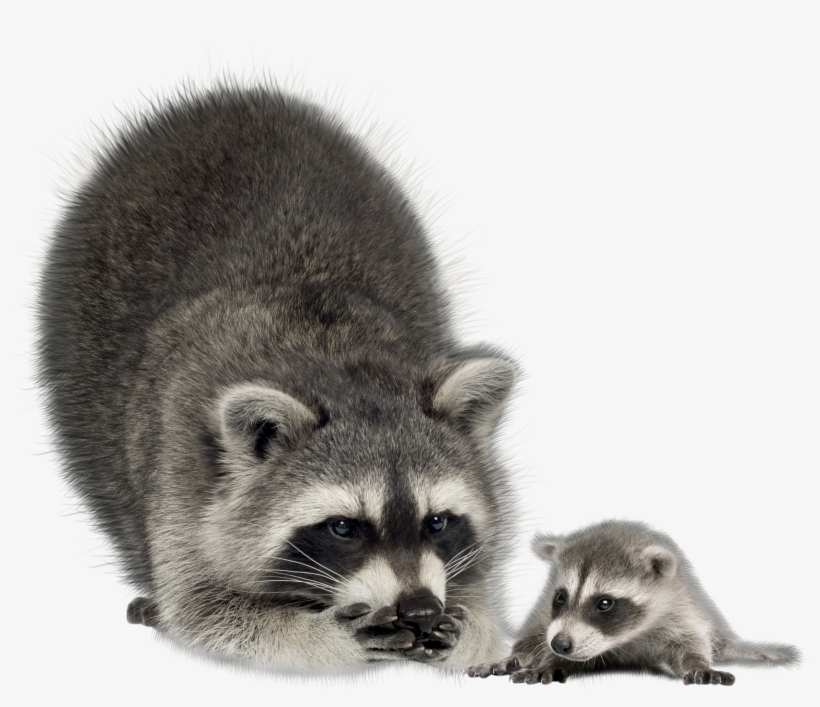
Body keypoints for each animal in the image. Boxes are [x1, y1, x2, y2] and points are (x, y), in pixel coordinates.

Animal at [38, 85, 517, 671]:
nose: (420, 608)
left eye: (438, 522)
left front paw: (470, 625)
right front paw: (321, 633)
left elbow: (482, 595)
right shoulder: (182, 468)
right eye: (343, 527)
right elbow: (203, 609)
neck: (333, 361)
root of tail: (236, 98)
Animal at [468, 520, 798, 685]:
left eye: (604, 603)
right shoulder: (549, 618)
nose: (560, 645)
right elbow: (540, 639)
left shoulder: (680, 614)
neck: (624, 640)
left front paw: (697, 663)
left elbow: (690, 646)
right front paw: (545, 659)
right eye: (560, 597)